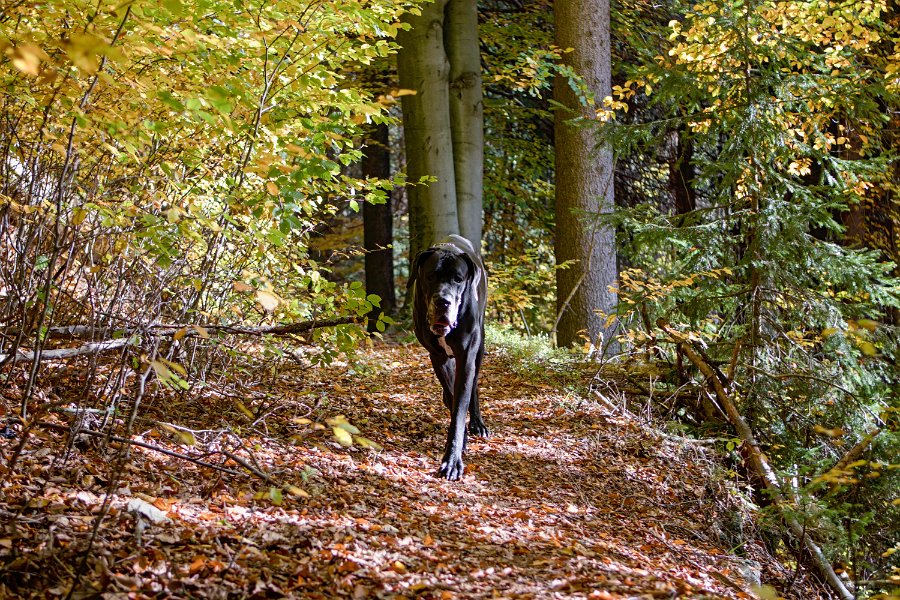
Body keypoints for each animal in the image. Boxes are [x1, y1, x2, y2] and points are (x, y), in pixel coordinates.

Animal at [410, 233, 488, 478]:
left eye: (458, 279)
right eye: (430, 276)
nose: (443, 302)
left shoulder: (467, 357)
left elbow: (461, 404)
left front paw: (452, 460)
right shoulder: (438, 356)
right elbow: (453, 396)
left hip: (479, 348)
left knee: (474, 386)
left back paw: (478, 423)